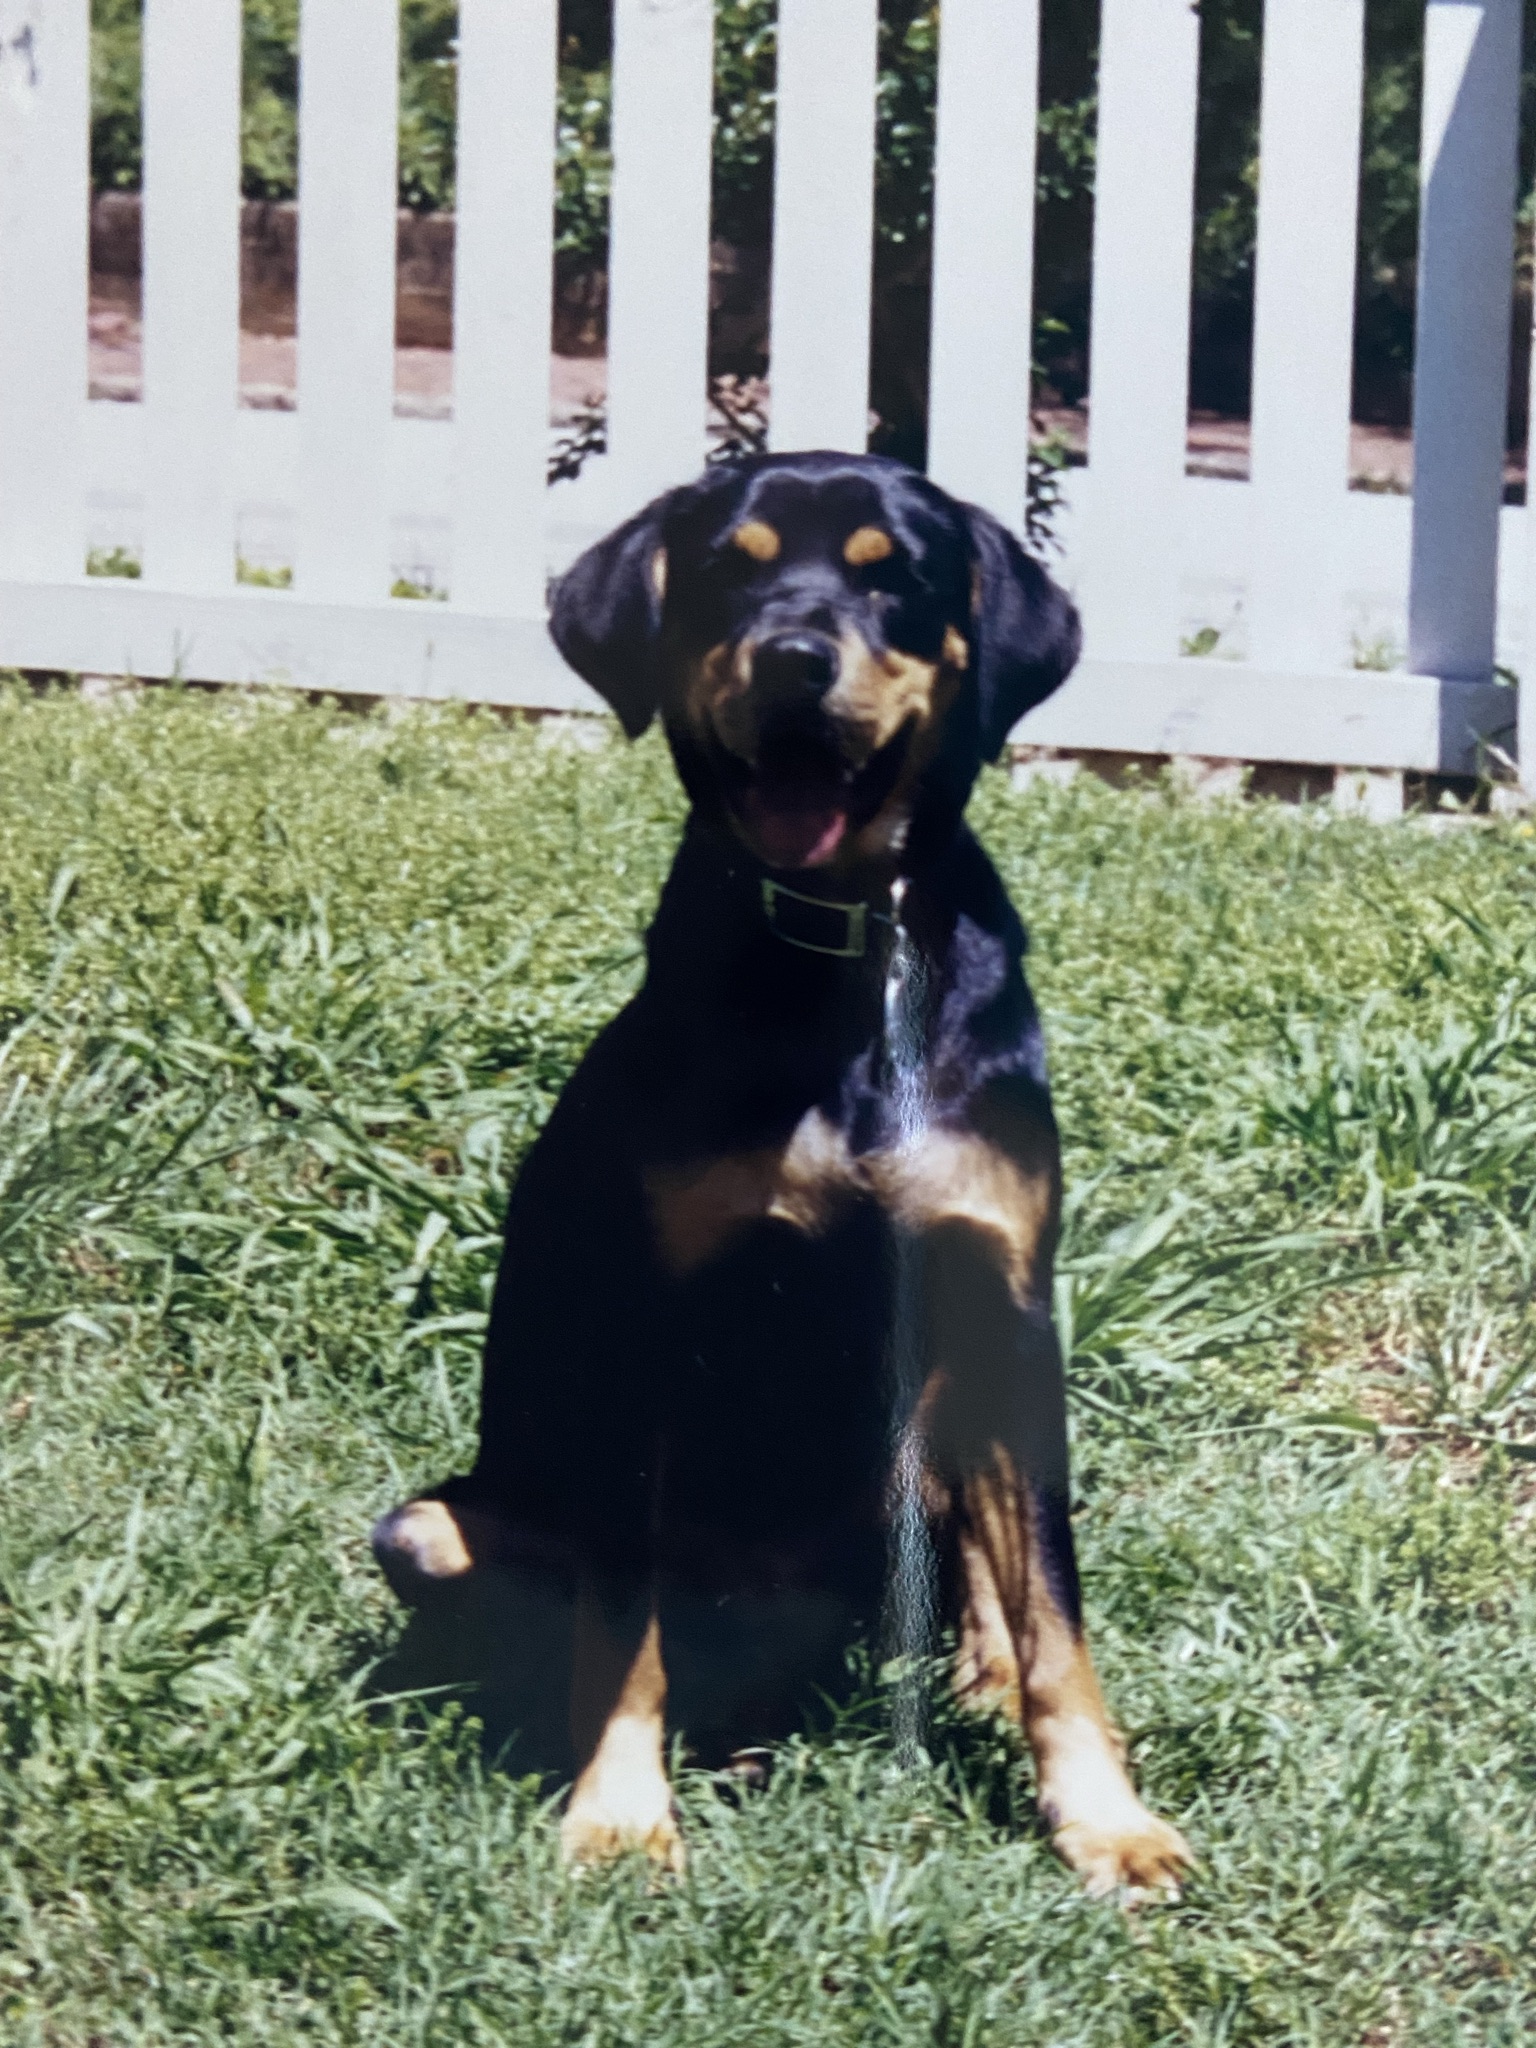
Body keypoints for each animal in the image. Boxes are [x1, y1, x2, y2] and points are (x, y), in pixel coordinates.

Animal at [378, 456, 1196, 1892]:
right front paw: (618, 1811)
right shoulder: (650, 1329)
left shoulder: (1004, 1304)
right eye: (729, 570)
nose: (795, 659)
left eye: (893, 575)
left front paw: (1105, 1818)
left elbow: (1054, 1605)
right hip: (428, 1526)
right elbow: (624, 1624)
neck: (843, 950)